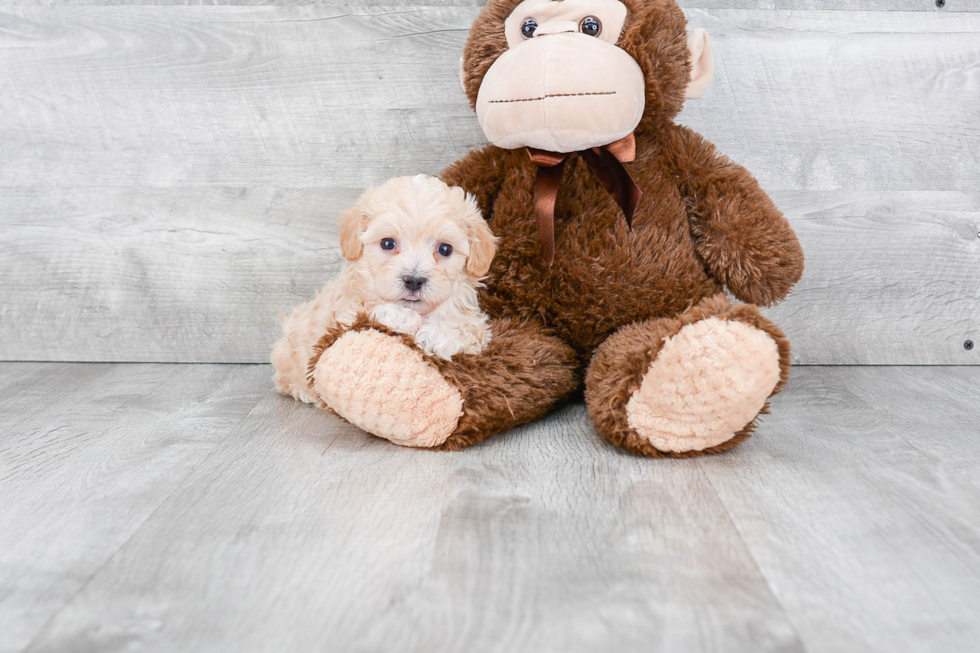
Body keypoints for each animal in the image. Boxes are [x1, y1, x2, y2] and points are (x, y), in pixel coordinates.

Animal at [270, 173, 494, 402]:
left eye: (445, 249)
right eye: (387, 243)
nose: (413, 280)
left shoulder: (477, 324)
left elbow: (467, 327)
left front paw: (436, 334)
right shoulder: (344, 313)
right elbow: (371, 309)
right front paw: (404, 318)